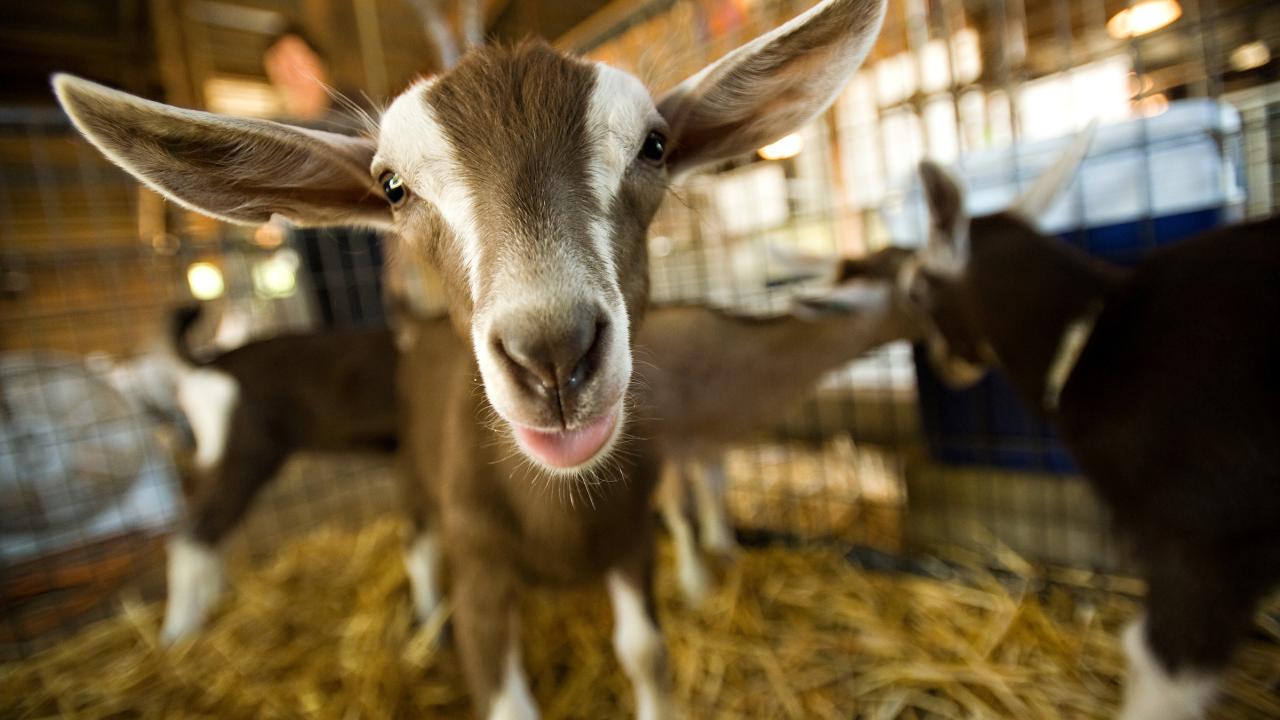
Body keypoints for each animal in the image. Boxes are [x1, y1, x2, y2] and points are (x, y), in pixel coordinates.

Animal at [57, 0, 890, 712]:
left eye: (655, 146)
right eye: (392, 187)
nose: (553, 354)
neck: (560, 513)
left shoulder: (628, 540)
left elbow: (647, 654)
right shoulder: (481, 567)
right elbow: (500, 687)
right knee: (390, 544)